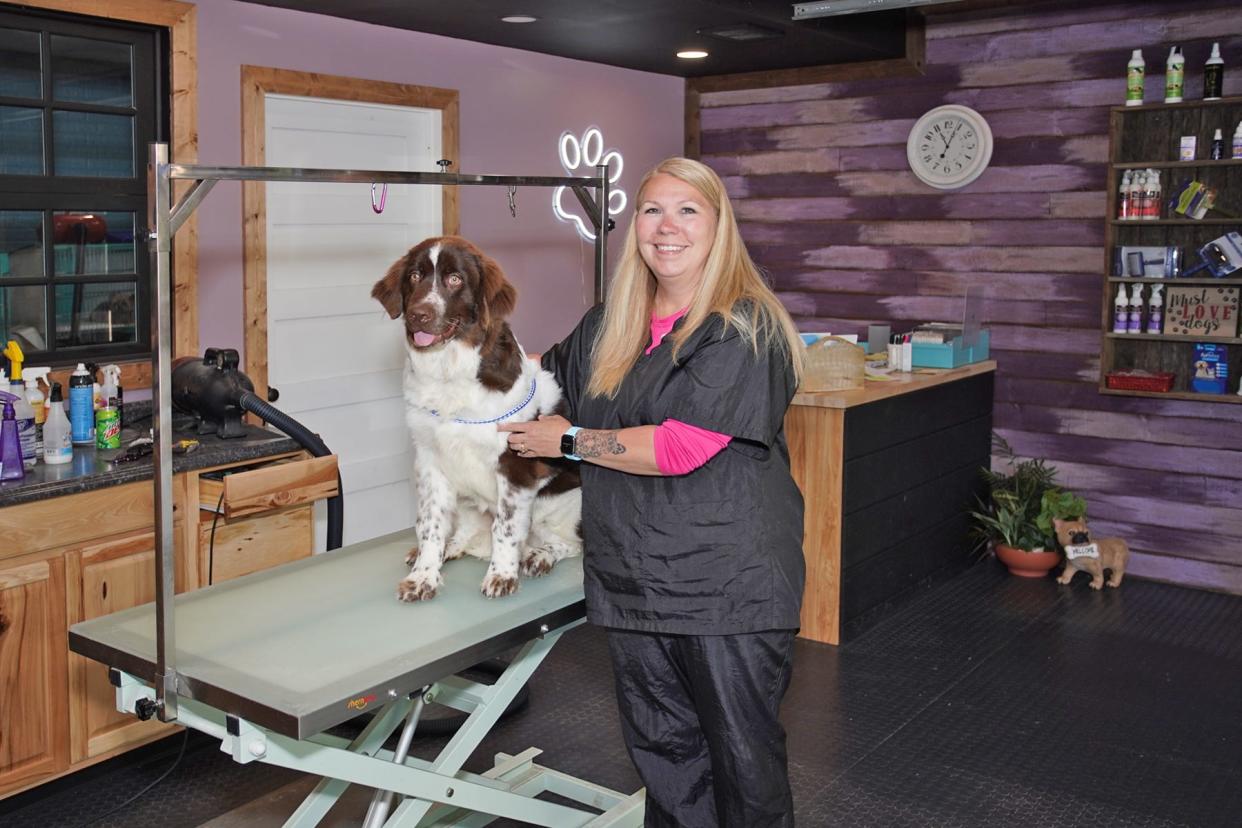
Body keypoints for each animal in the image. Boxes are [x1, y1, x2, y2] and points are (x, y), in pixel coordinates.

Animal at [370, 235, 578, 598]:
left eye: (455, 279)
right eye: (414, 276)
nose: (418, 315)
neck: (448, 371)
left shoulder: (514, 465)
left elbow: (506, 527)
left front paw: (502, 575)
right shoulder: (430, 461)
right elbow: (430, 525)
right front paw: (423, 575)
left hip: (559, 504)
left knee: (568, 543)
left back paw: (538, 556)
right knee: (463, 535)